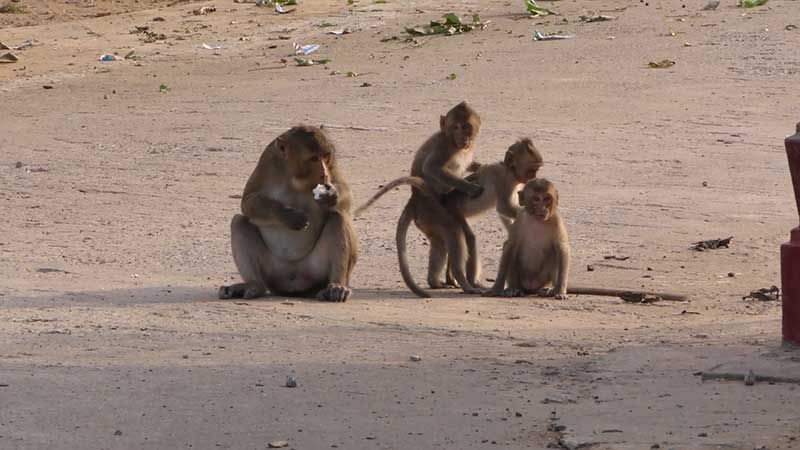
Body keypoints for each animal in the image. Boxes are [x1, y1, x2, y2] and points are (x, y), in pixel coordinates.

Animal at [218, 125, 358, 302]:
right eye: (313, 158)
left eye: (326, 156)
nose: (324, 174)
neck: (295, 179)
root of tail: (295, 284)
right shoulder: (267, 161)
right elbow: (247, 201)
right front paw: (288, 216)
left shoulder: (333, 165)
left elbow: (346, 198)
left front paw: (332, 196)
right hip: (273, 274)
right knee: (238, 221)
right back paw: (254, 286)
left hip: (316, 271)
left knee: (338, 217)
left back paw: (336, 286)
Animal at [355, 138, 544, 296]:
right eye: (532, 169)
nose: (534, 177)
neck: (509, 170)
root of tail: (418, 201)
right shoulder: (503, 181)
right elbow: (504, 207)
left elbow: (504, 215)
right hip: (442, 213)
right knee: (460, 235)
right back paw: (468, 283)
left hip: (429, 221)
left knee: (441, 243)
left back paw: (438, 281)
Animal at [485, 178, 688, 301]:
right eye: (536, 199)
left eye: (547, 199)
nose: (543, 209)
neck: (537, 220)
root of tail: (531, 287)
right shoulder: (521, 219)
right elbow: (510, 245)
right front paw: (497, 287)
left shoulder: (556, 219)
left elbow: (562, 249)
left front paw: (560, 290)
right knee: (514, 254)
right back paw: (514, 288)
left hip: (544, 278)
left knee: (555, 254)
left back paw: (549, 289)